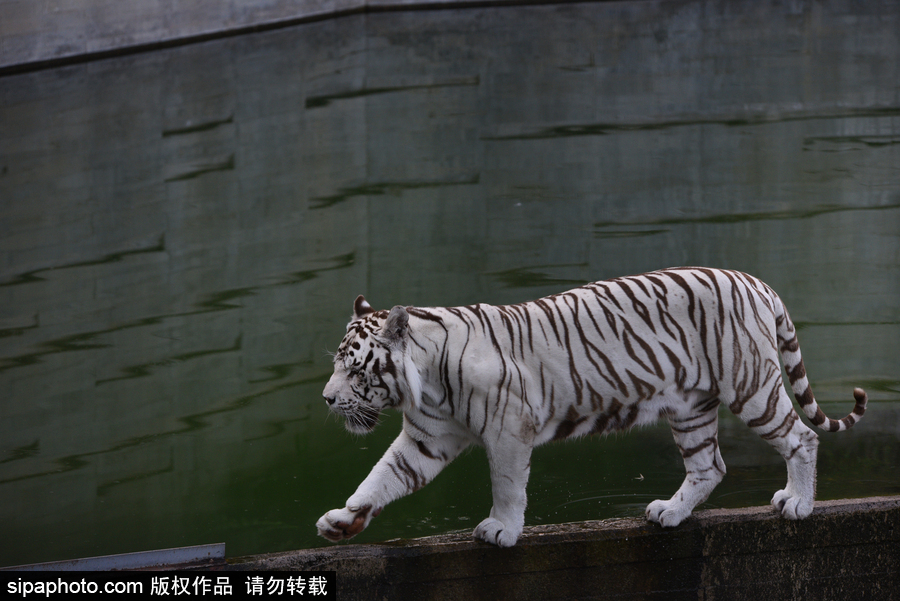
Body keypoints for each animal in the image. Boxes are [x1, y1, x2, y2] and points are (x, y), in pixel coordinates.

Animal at [314, 270, 864, 548]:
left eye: (354, 369)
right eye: (337, 365)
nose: (326, 398)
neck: (424, 382)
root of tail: (756, 282)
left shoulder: (509, 429)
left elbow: (507, 486)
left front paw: (502, 530)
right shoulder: (427, 439)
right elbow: (382, 477)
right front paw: (343, 520)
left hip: (750, 386)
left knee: (802, 437)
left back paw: (798, 502)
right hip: (690, 406)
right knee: (710, 465)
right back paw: (669, 512)